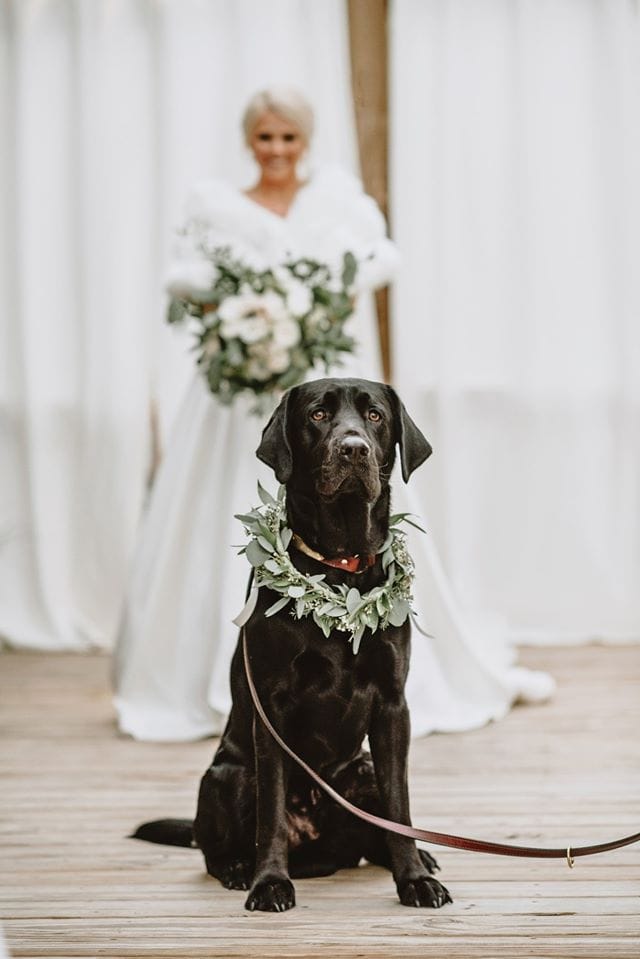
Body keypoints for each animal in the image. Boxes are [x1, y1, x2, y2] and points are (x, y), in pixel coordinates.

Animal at [134, 376, 450, 916]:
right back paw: (240, 869)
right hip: (225, 775)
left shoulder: (393, 705)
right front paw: (269, 883)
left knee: (371, 835)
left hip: (361, 768)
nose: (353, 448)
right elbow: (273, 811)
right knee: (216, 847)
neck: (339, 567)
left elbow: (400, 805)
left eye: (375, 415)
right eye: (318, 415)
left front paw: (414, 879)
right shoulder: (272, 707)